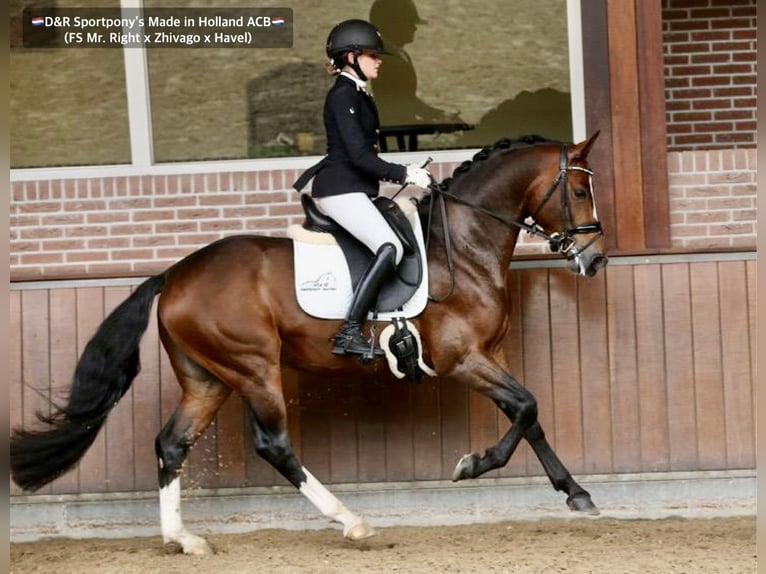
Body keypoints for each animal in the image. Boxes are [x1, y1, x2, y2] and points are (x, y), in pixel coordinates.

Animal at [10, 133, 612, 556]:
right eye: (580, 191)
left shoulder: (492, 354)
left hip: (207, 378)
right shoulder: (462, 359)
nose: (596, 259)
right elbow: (525, 407)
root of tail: (174, 274)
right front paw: (473, 464)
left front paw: (573, 492)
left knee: (172, 444)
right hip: (253, 368)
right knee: (274, 444)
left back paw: (184, 540)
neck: (462, 246)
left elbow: (528, 416)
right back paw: (351, 521)